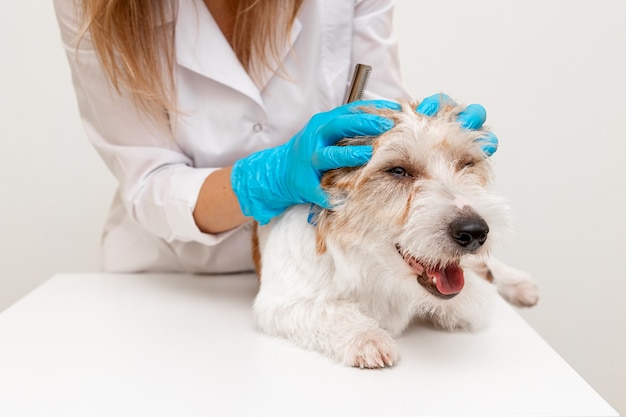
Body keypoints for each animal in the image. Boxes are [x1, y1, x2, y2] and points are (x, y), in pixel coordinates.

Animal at [251, 101, 532, 368]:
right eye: (398, 171)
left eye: (466, 163)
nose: (474, 231)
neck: (376, 270)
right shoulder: (282, 302)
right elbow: (330, 310)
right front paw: (367, 337)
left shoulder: (472, 297)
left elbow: (470, 300)